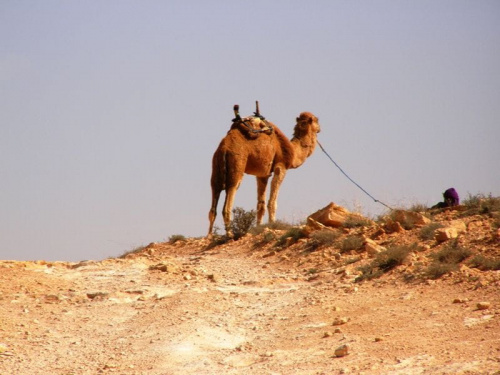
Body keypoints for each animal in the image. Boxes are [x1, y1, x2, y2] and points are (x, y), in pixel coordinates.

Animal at [207, 103, 320, 238]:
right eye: (317, 120)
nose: (320, 128)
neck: (293, 152)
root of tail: (225, 147)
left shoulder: (262, 174)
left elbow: (260, 205)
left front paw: (259, 227)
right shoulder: (281, 167)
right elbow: (272, 202)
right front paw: (272, 225)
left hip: (216, 167)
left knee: (213, 200)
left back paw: (209, 235)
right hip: (237, 164)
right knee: (229, 198)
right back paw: (229, 234)